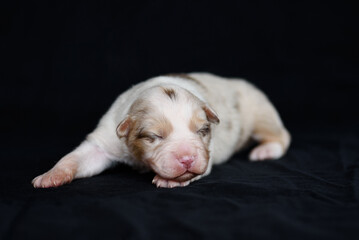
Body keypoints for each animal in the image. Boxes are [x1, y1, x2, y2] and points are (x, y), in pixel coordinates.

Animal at [32, 72, 292, 188]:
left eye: (202, 130)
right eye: (154, 137)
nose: (187, 159)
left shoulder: (207, 152)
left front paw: (171, 181)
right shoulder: (106, 138)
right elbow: (78, 157)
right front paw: (51, 175)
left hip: (259, 111)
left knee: (281, 135)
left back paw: (265, 150)